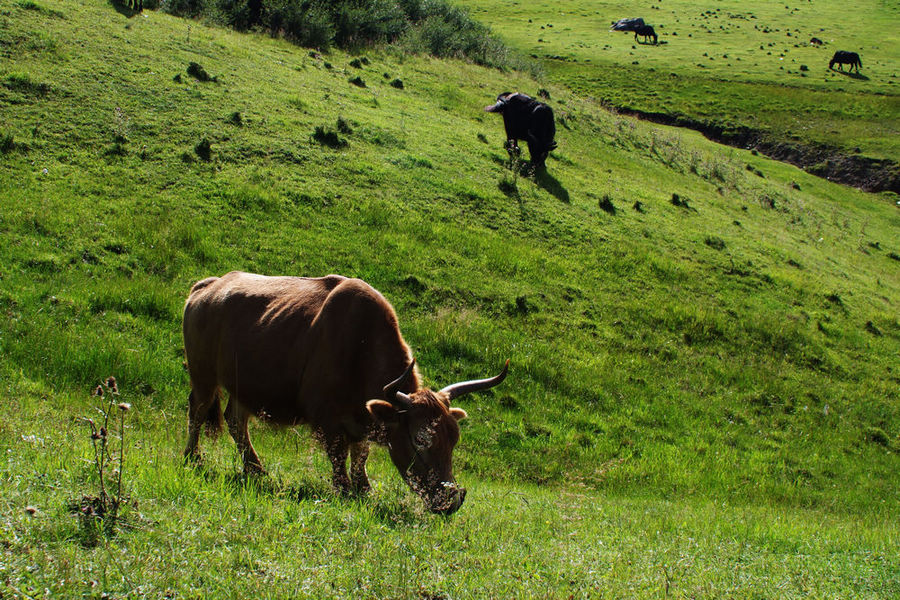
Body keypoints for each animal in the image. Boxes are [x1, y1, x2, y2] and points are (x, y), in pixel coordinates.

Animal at [183, 272, 506, 516]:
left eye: (454, 439)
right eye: (420, 439)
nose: (451, 500)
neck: (360, 349)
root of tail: (208, 286)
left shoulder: (363, 422)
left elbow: (360, 455)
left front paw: (364, 489)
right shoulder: (327, 421)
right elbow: (338, 457)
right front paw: (345, 490)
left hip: (244, 388)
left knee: (237, 422)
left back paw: (256, 470)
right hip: (203, 376)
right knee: (197, 411)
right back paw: (193, 458)